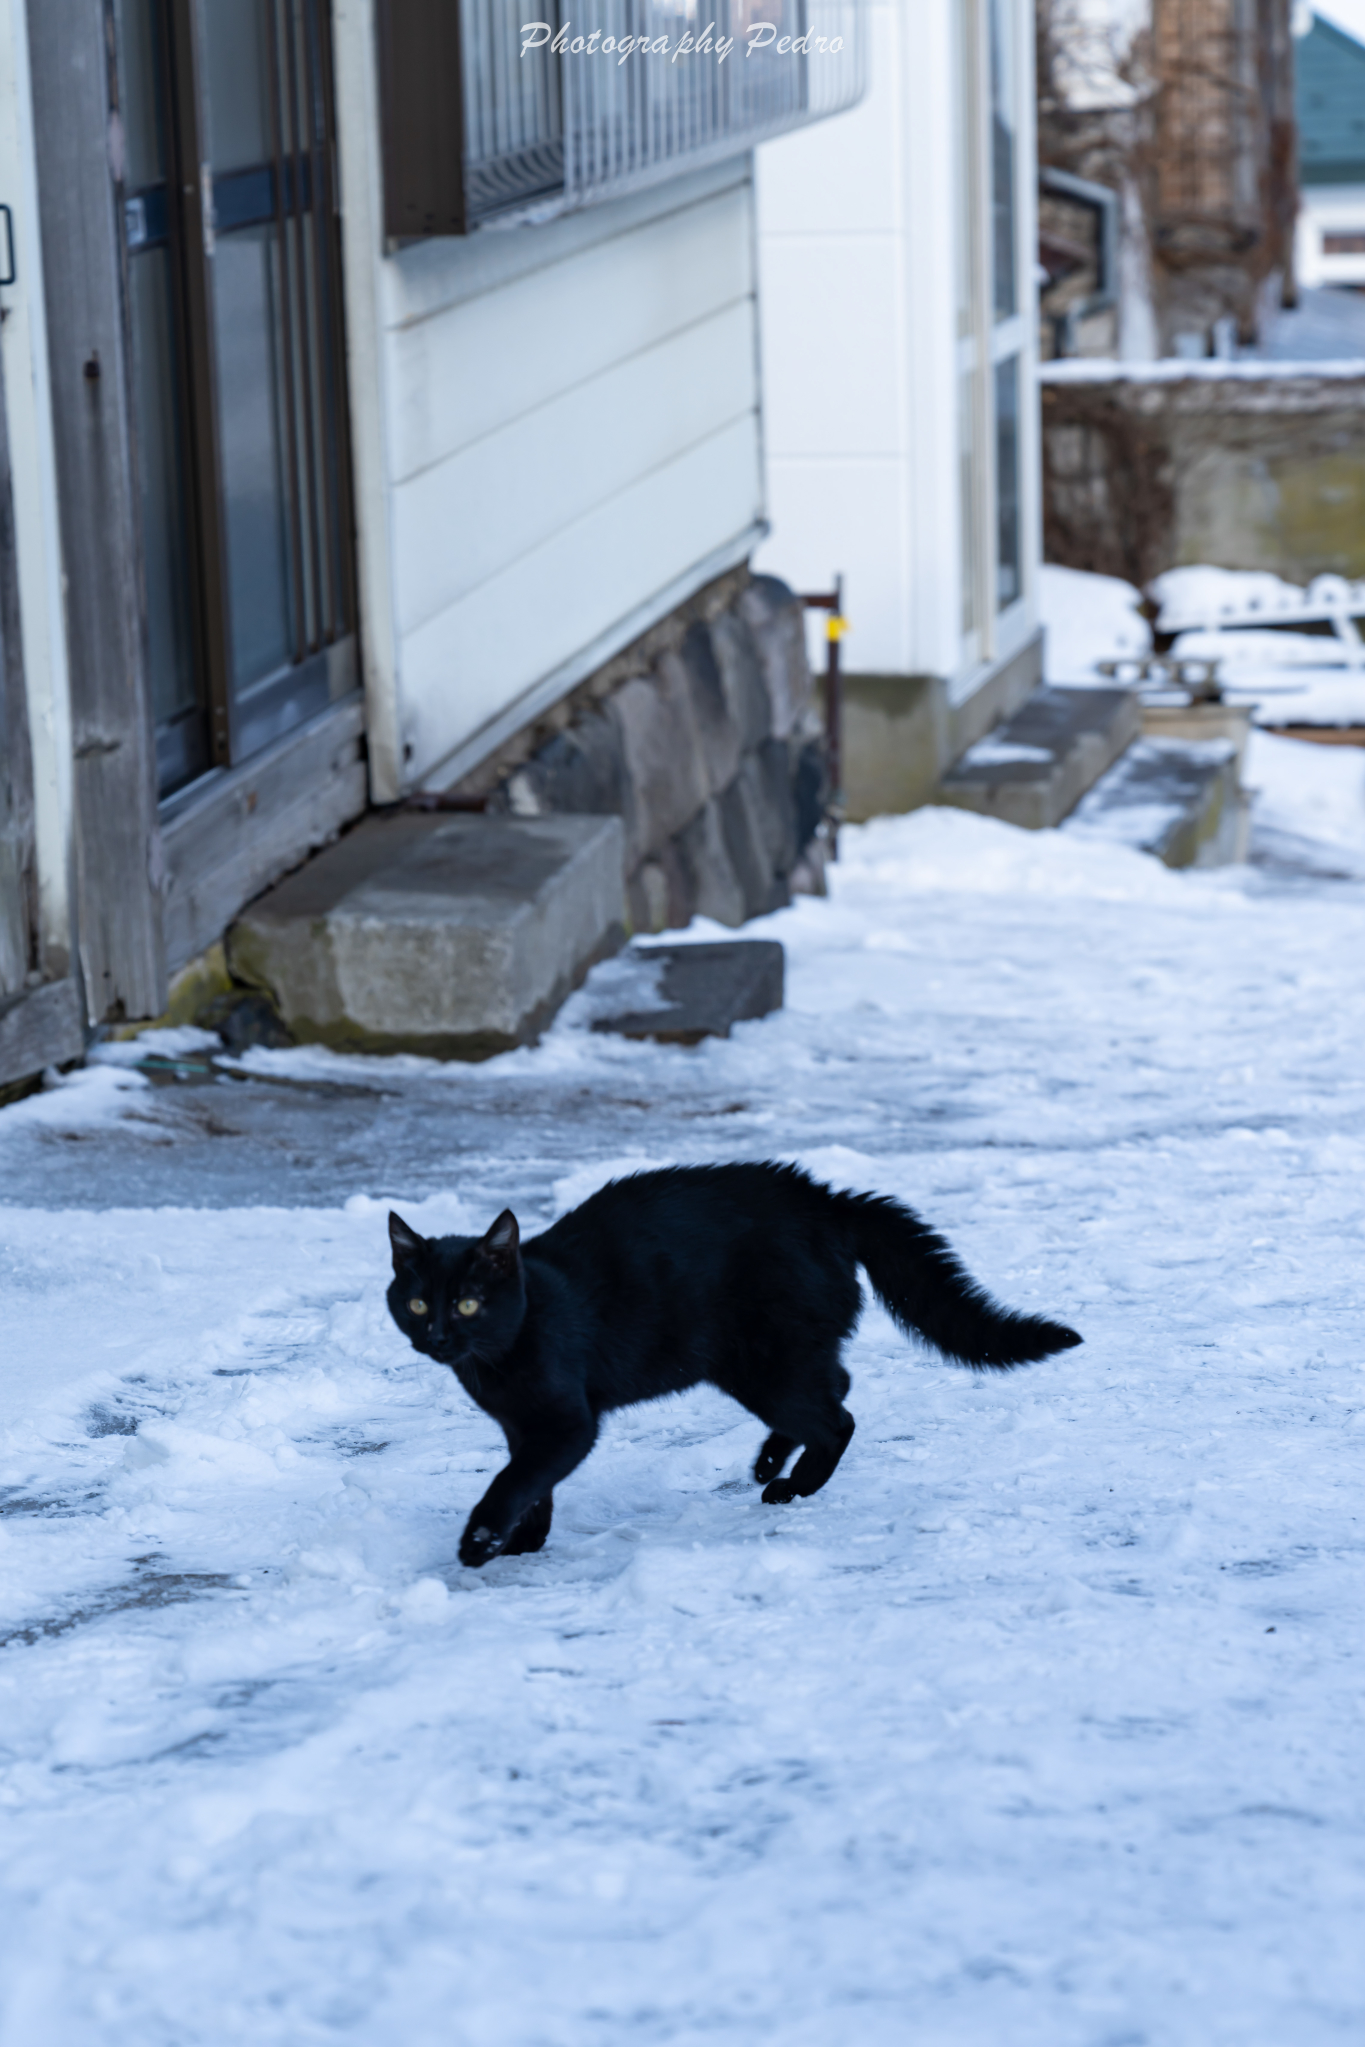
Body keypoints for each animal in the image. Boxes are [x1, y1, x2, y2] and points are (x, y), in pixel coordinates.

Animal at [388, 1170, 1080, 1563]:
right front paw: (525, 1543)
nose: (439, 1336)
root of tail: (826, 1202)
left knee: (839, 1418)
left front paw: (481, 1544)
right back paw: (772, 1462)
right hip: (766, 1358)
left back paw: (792, 1485)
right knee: (837, 1386)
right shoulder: (523, 1429)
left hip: (763, 1365)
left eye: (470, 1303)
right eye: (418, 1302)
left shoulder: (565, 1425)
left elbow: (514, 1482)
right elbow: (534, 1487)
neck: (498, 1358)